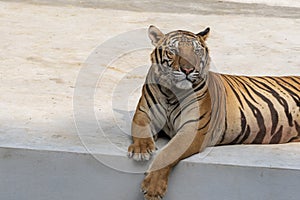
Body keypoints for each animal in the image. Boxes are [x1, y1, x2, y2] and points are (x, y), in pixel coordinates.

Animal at [127, 25, 300, 200]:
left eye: (196, 52)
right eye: (173, 51)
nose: (188, 70)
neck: (172, 92)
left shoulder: (193, 128)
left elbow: (169, 152)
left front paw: (152, 188)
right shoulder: (143, 113)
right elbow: (141, 130)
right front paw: (141, 150)